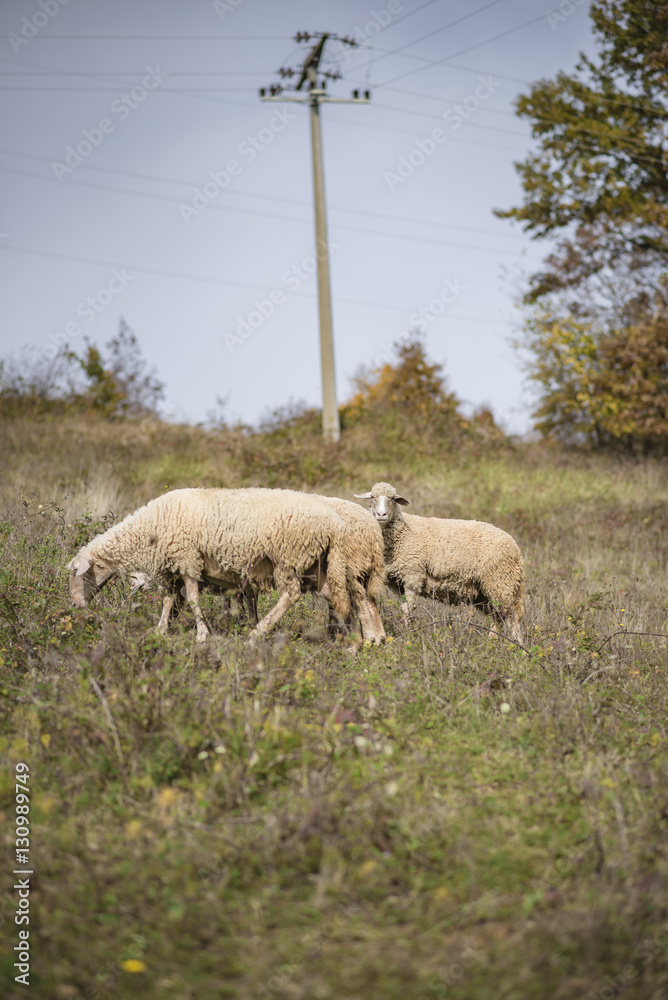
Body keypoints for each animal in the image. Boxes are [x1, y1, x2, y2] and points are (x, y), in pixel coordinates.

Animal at [68, 487, 352, 642]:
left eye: (77, 575)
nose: (75, 605)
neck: (149, 529)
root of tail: (333, 523)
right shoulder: (174, 567)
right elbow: (168, 600)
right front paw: (160, 630)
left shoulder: (187, 559)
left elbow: (193, 599)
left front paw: (202, 634)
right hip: (316, 565)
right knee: (335, 596)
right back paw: (346, 637)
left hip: (289, 558)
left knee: (291, 595)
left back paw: (258, 632)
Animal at [354, 482, 525, 642]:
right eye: (372, 497)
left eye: (392, 499)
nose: (381, 514)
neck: (402, 532)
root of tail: (516, 548)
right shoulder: (398, 583)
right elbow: (404, 608)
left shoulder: (413, 577)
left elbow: (409, 610)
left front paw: (409, 635)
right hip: (485, 591)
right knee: (498, 617)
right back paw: (492, 641)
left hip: (501, 582)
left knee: (513, 616)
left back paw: (516, 644)